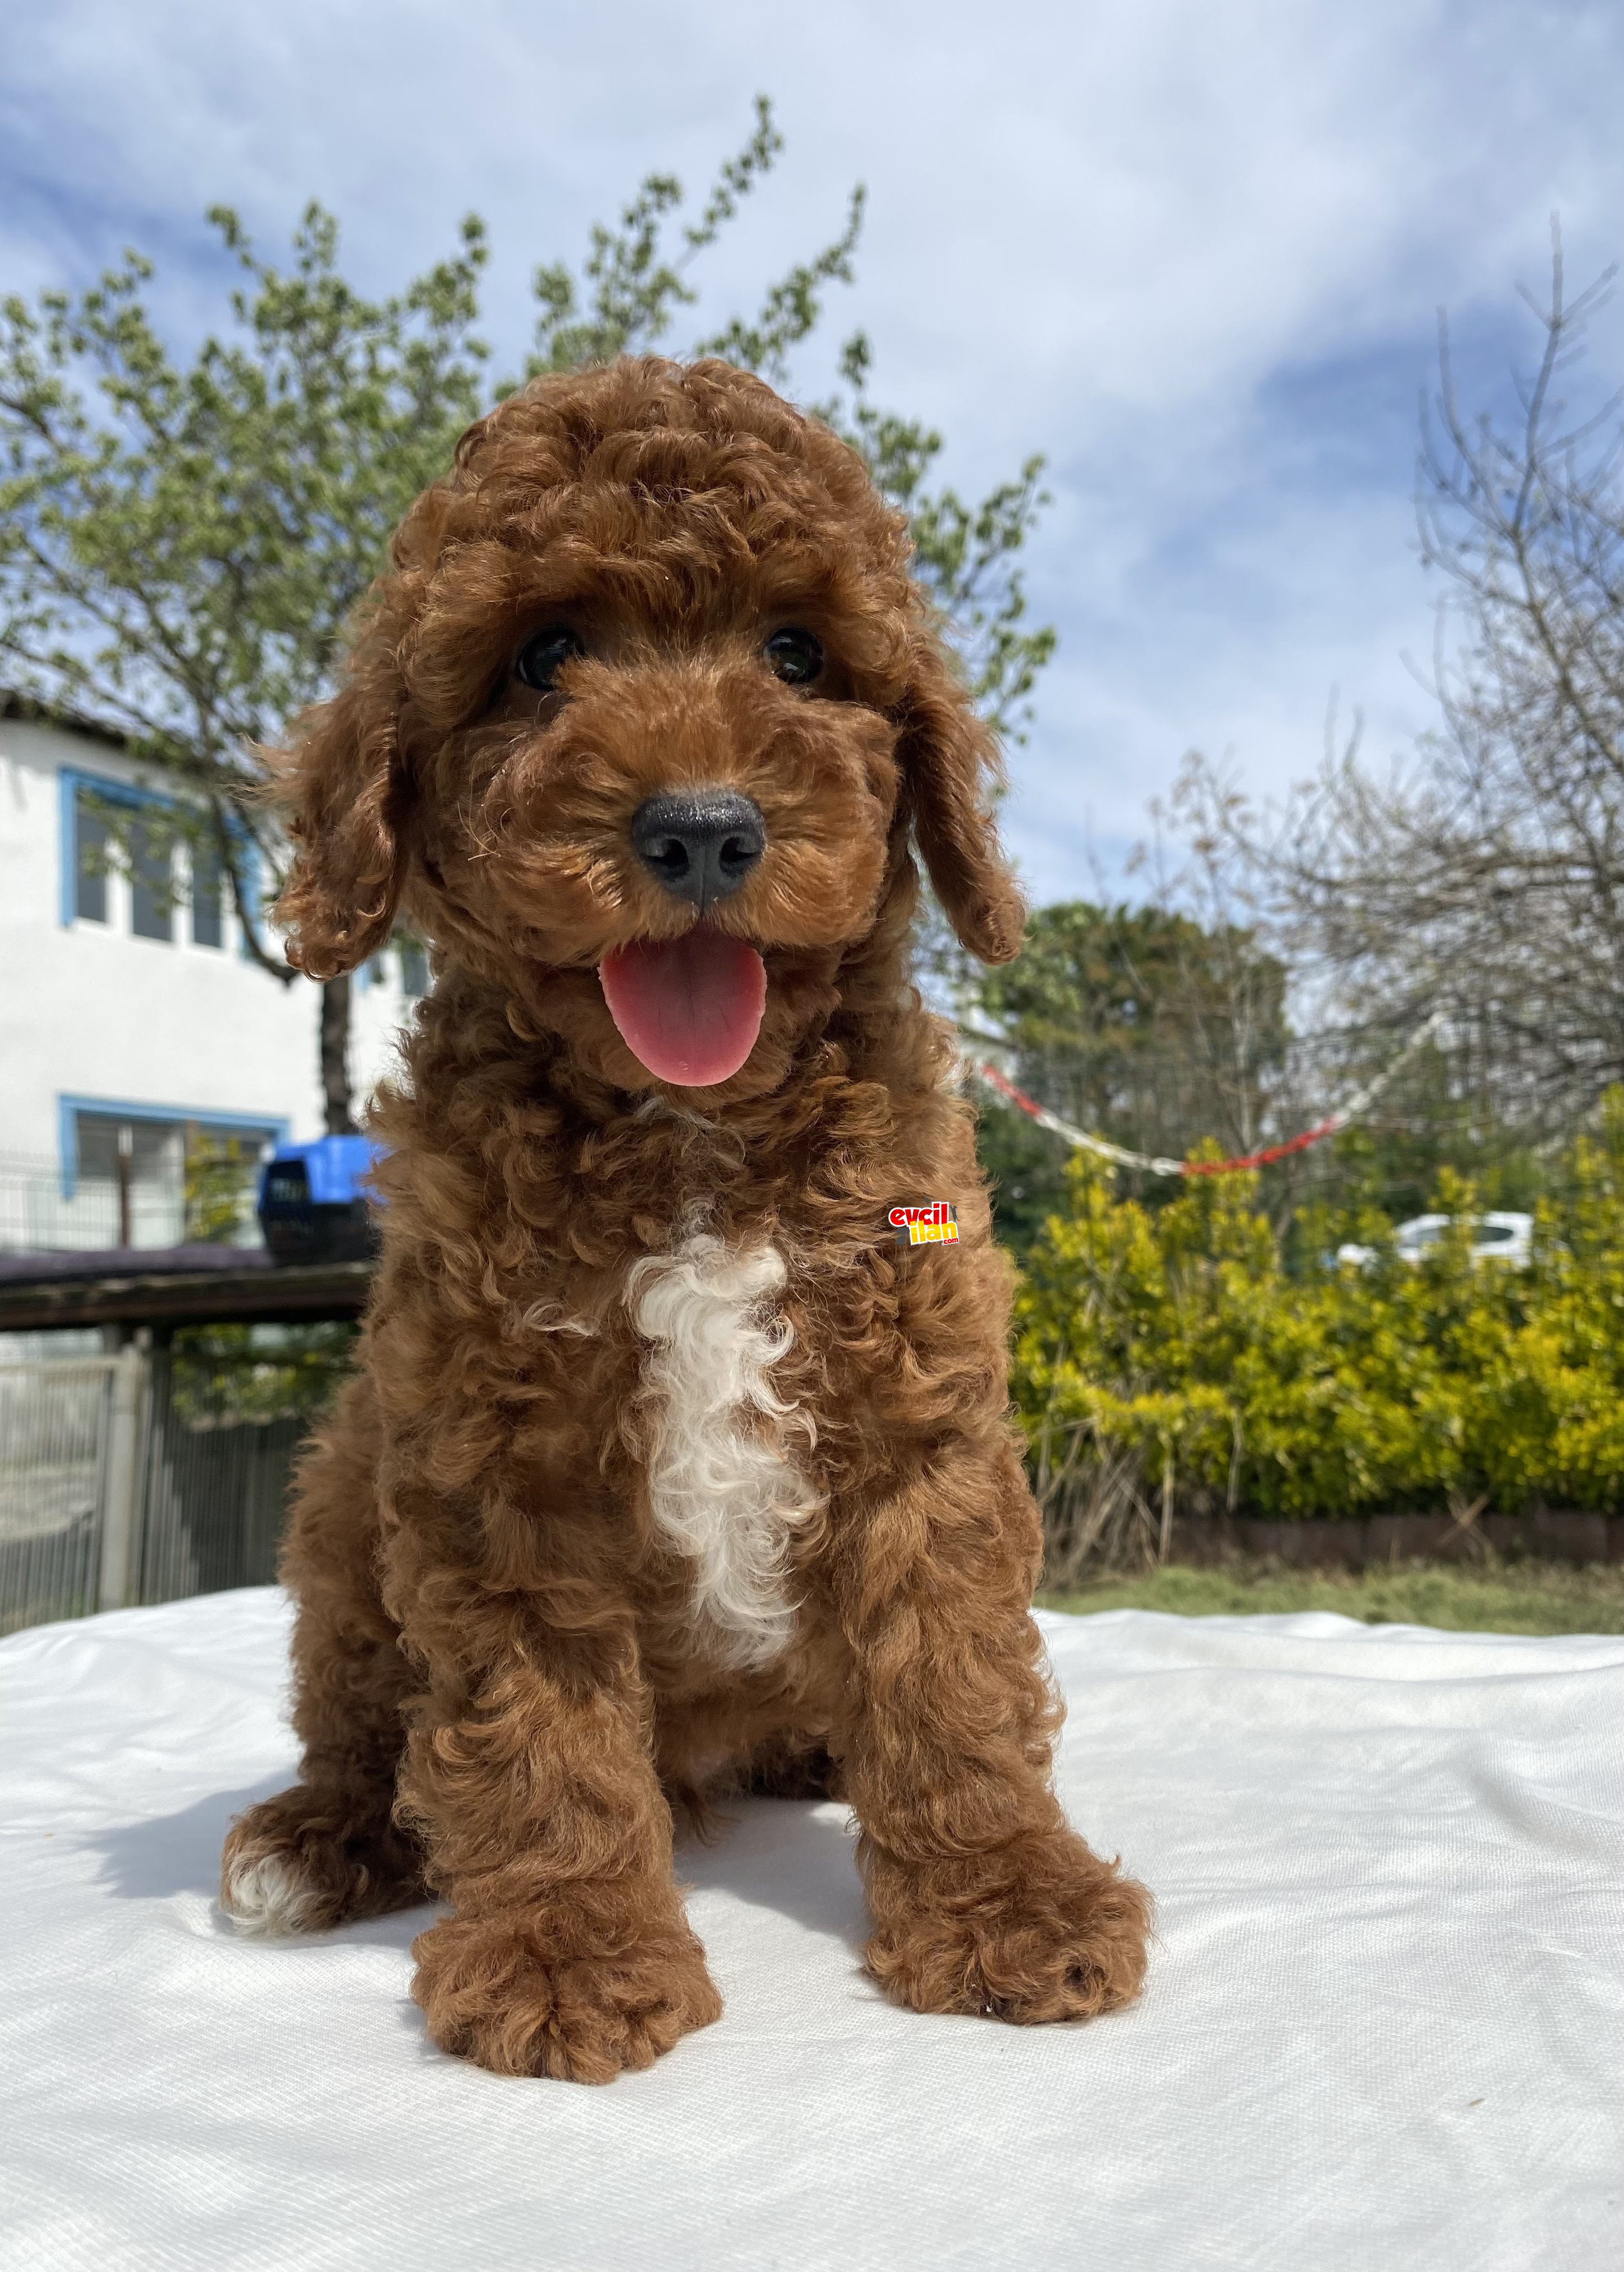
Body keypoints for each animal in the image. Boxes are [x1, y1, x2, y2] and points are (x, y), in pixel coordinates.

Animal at [219, 354, 1158, 2081]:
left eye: (796, 652)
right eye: (543, 655)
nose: (705, 828)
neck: (692, 1135)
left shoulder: (913, 1421)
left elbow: (952, 1673)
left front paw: (1006, 1904)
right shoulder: (494, 1461)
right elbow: (532, 1723)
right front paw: (565, 1954)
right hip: (337, 1508)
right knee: (362, 1715)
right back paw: (322, 1841)